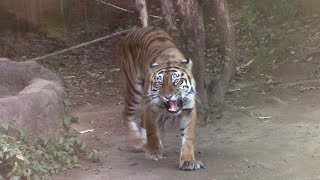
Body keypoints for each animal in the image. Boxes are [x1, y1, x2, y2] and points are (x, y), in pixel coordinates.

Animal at [120, 26, 205, 170]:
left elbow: (188, 138)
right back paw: (137, 143)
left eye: (176, 81)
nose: (167, 96)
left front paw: (188, 161)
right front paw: (154, 152)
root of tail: (136, 30)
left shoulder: (188, 110)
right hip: (134, 88)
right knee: (127, 113)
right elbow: (152, 131)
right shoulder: (150, 106)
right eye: (160, 83)